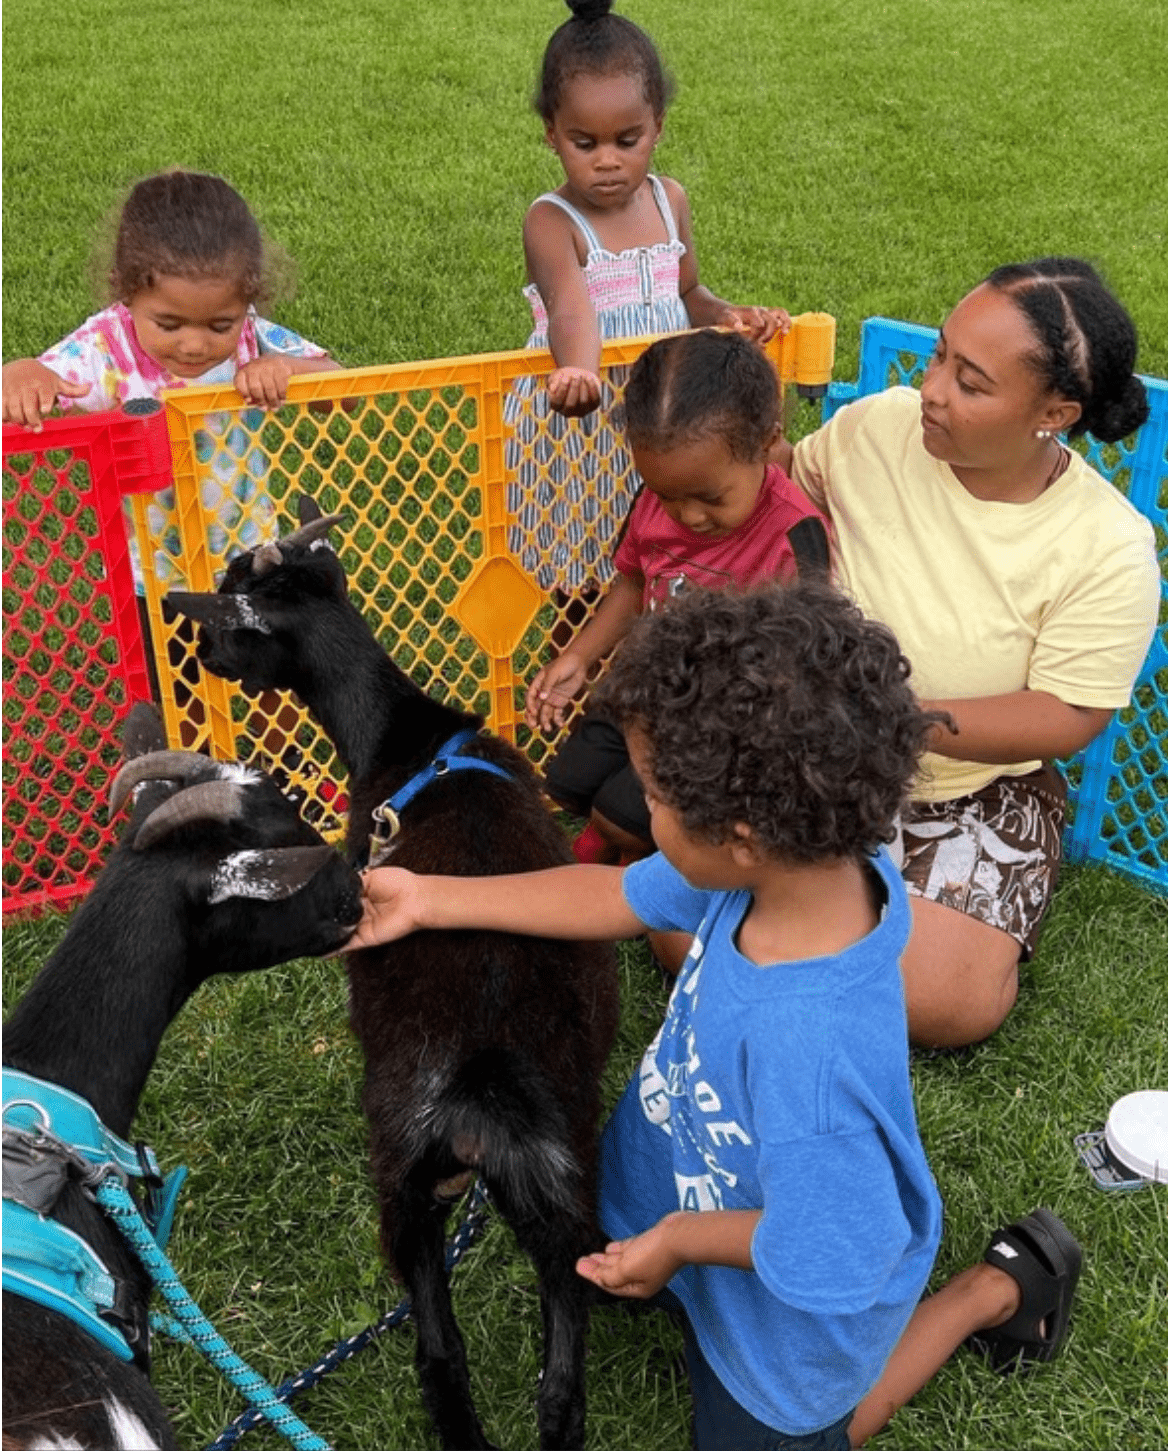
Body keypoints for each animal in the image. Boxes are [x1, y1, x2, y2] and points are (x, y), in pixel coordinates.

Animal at [172, 504, 624, 1451]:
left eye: (230, 604)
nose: (199, 658)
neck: (402, 737)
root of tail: (484, 1093)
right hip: (566, 1184)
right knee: (560, 1387)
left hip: (404, 1179)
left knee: (440, 1354)